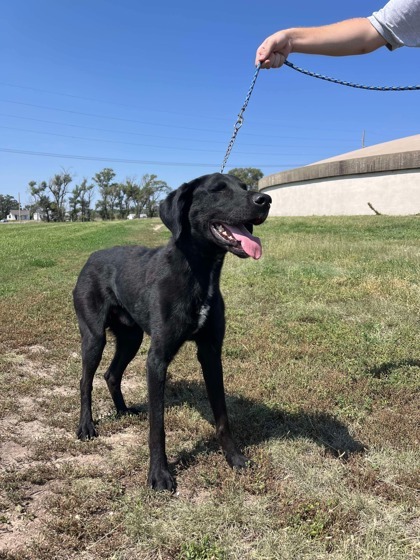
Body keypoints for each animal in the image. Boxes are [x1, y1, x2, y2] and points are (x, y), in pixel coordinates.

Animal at [73, 174, 270, 490]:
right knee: (85, 381)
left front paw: (234, 458)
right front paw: (159, 475)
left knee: (111, 374)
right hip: (94, 337)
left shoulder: (211, 353)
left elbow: (222, 416)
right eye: (218, 189)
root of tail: (91, 258)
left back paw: (123, 410)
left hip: (131, 338)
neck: (198, 272)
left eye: (243, 186)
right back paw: (86, 426)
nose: (265, 200)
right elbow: (158, 426)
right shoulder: (157, 359)